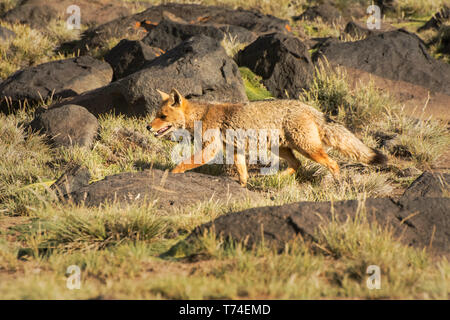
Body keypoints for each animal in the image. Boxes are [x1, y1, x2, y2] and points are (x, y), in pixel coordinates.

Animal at [147, 89, 386, 186]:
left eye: (162, 116)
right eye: (156, 114)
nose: (148, 127)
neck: (202, 114)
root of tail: (308, 107)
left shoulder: (210, 149)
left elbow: (184, 164)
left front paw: (171, 174)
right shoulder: (234, 150)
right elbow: (242, 172)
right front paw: (244, 186)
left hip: (307, 149)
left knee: (333, 163)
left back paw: (337, 184)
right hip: (281, 149)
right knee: (296, 165)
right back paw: (274, 178)